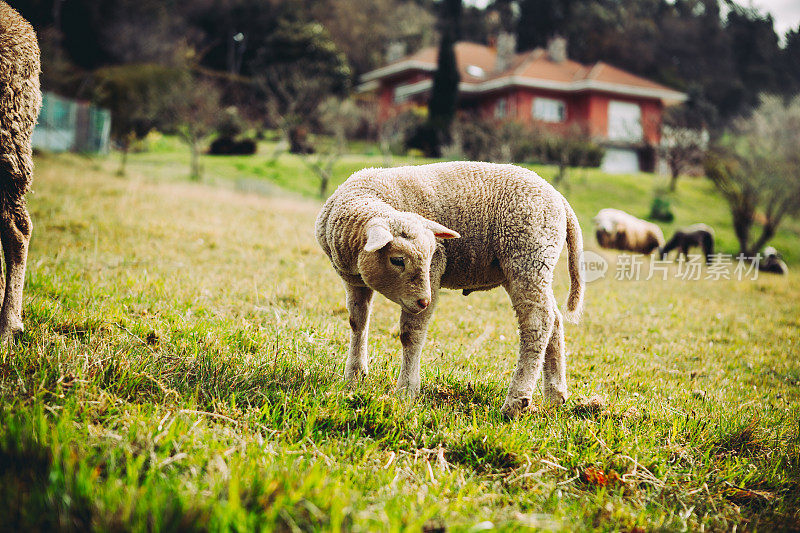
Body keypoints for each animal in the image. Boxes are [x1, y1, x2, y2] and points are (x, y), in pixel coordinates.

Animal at [316, 160, 584, 418]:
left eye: (430, 256)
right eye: (398, 260)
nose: (424, 301)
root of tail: (559, 199)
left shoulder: (434, 272)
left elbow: (410, 334)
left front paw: (406, 390)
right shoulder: (354, 281)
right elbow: (357, 322)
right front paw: (354, 376)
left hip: (527, 256)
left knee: (537, 322)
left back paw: (516, 402)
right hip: (533, 266)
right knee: (554, 319)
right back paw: (555, 395)